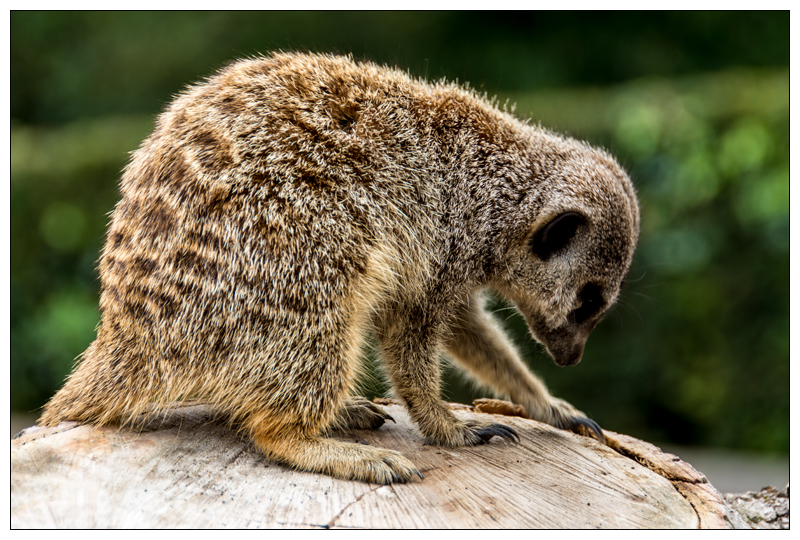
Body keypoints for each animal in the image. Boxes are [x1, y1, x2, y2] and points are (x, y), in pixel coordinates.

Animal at [39, 52, 640, 484]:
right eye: (588, 300)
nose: (570, 358)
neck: (493, 186)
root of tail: (122, 337)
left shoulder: (452, 268)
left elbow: (470, 331)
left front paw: (547, 404)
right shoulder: (441, 247)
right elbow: (407, 337)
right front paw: (450, 426)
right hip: (303, 262)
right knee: (284, 399)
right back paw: (338, 447)